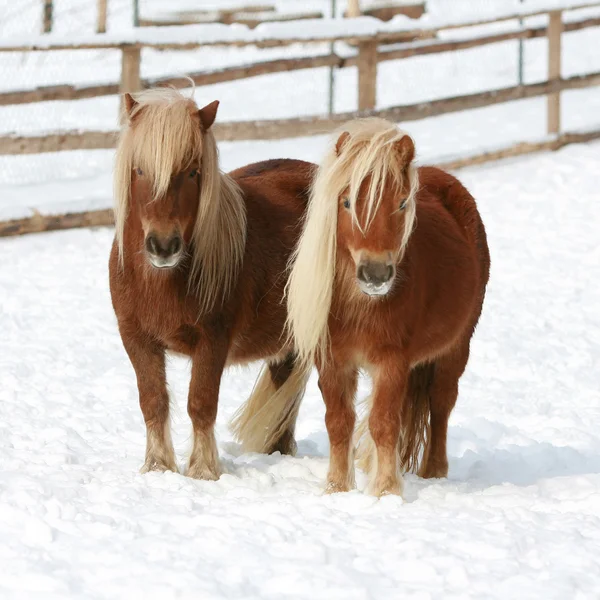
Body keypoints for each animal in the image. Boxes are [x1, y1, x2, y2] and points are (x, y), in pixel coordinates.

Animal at [109, 86, 314, 478]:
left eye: (192, 172)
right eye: (139, 169)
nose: (163, 246)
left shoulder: (213, 339)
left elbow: (200, 403)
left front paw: (203, 470)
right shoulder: (135, 337)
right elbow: (153, 401)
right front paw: (157, 466)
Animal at [234, 118, 488, 496]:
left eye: (401, 203)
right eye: (347, 202)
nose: (376, 273)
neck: (359, 306)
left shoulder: (392, 362)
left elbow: (383, 424)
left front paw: (385, 491)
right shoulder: (333, 362)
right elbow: (339, 422)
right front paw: (337, 487)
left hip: (456, 348)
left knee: (441, 405)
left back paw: (434, 473)